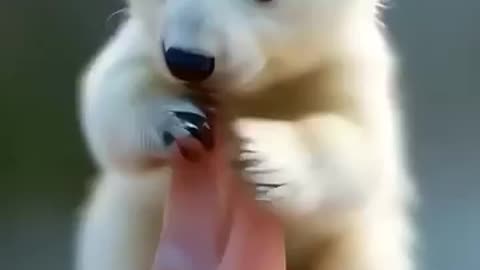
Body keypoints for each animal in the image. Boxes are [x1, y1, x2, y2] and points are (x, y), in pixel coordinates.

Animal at [77, 0, 414, 268]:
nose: (187, 60)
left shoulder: (342, 67)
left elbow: (359, 143)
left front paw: (263, 157)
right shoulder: (143, 44)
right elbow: (109, 92)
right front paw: (179, 119)